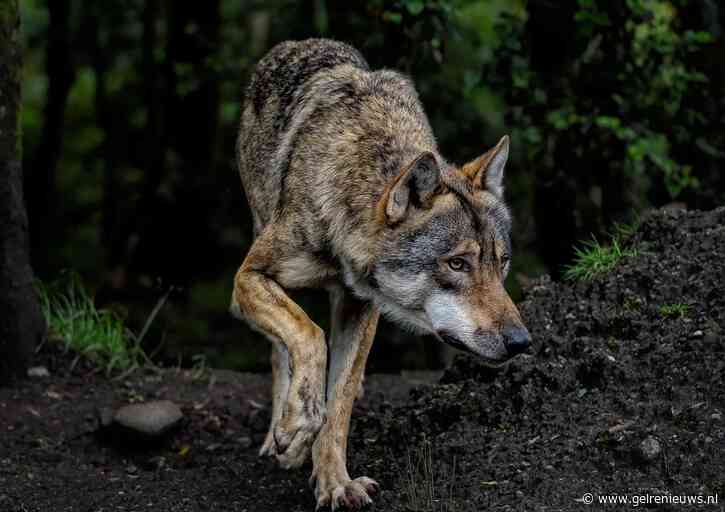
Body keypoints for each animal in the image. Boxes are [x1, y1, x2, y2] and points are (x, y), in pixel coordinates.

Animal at [232, 39, 532, 508]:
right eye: (457, 264)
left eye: (500, 263)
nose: (521, 342)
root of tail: (294, 45)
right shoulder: (248, 277)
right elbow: (309, 336)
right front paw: (297, 425)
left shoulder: (361, 307)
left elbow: (339, 402)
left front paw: (335, 482)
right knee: (280, 350)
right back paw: (281, 433)